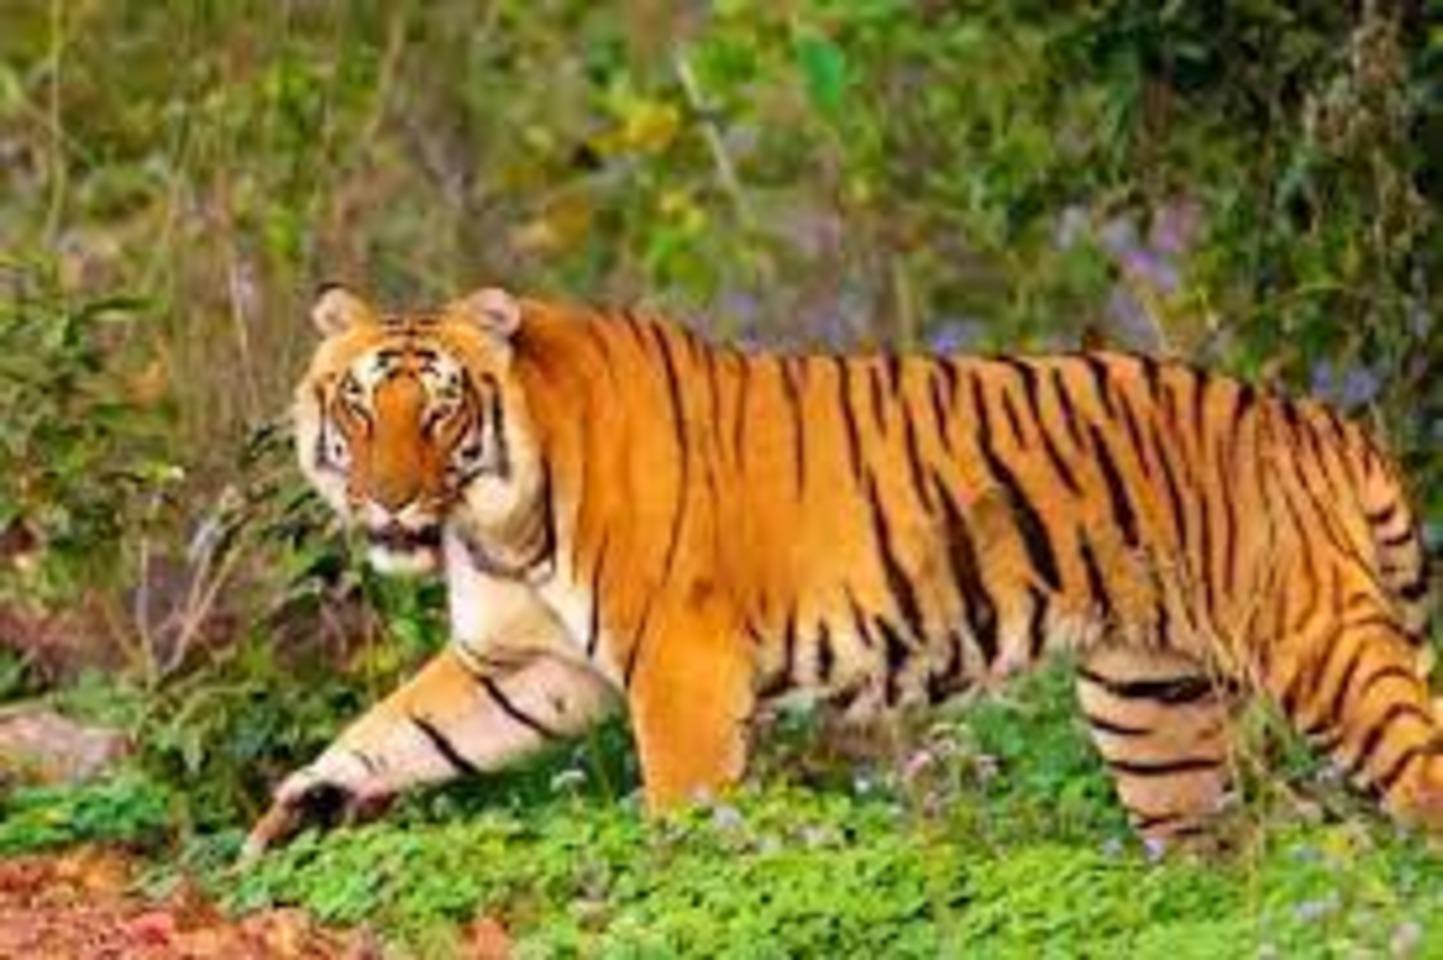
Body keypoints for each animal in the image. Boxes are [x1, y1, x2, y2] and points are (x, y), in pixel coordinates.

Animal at [242, 283, 1438, 859]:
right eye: (361, 405)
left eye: (439, 409)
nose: (388, 500)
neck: (498, 517)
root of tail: (1324, 420)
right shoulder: (526, 666)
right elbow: (399, 731)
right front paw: (297, 811)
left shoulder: (679, 664)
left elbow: (681, 809)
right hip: (1153, 707)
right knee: (1207, 846)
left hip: (1316, 645)